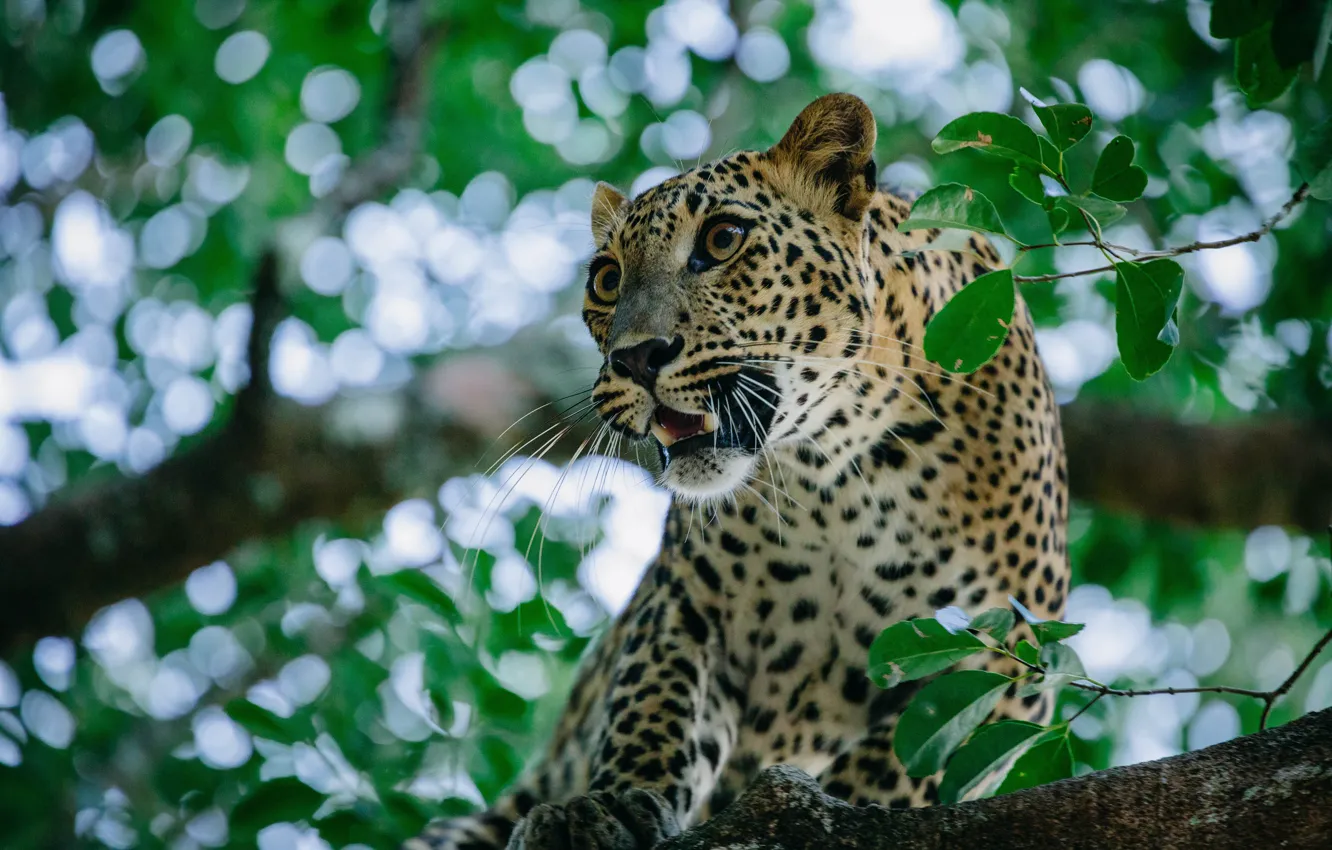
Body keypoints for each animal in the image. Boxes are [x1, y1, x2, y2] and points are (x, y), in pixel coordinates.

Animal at [407, 93, 1068, 850]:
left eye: (722, 240)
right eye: (606, 279)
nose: (636, 357)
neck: (838, 471)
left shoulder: (1012, 643)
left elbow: (906, 754)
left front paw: (847, 808)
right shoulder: (686, 602)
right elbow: (653, 704)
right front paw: (609, 804)